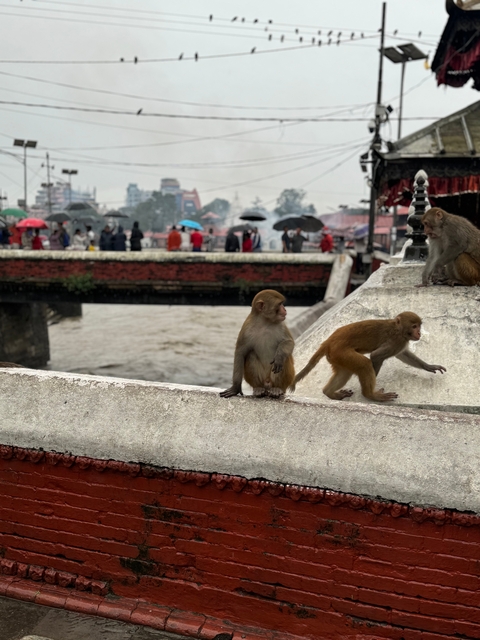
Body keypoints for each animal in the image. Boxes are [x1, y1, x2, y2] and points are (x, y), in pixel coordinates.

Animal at [290, 312, 446, 402]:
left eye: (419, 326)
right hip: (341, 351)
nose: (419, 333)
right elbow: (375, 356)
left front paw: (429, 366)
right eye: (414, 326)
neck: (398, 329)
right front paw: (372, 385)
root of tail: (328, 341)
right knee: (364, 364)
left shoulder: (400, 343)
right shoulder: (397, 341)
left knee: (344, 372)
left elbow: (403, 354)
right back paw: (370, 394)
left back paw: (328, 393)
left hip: (336, 356)